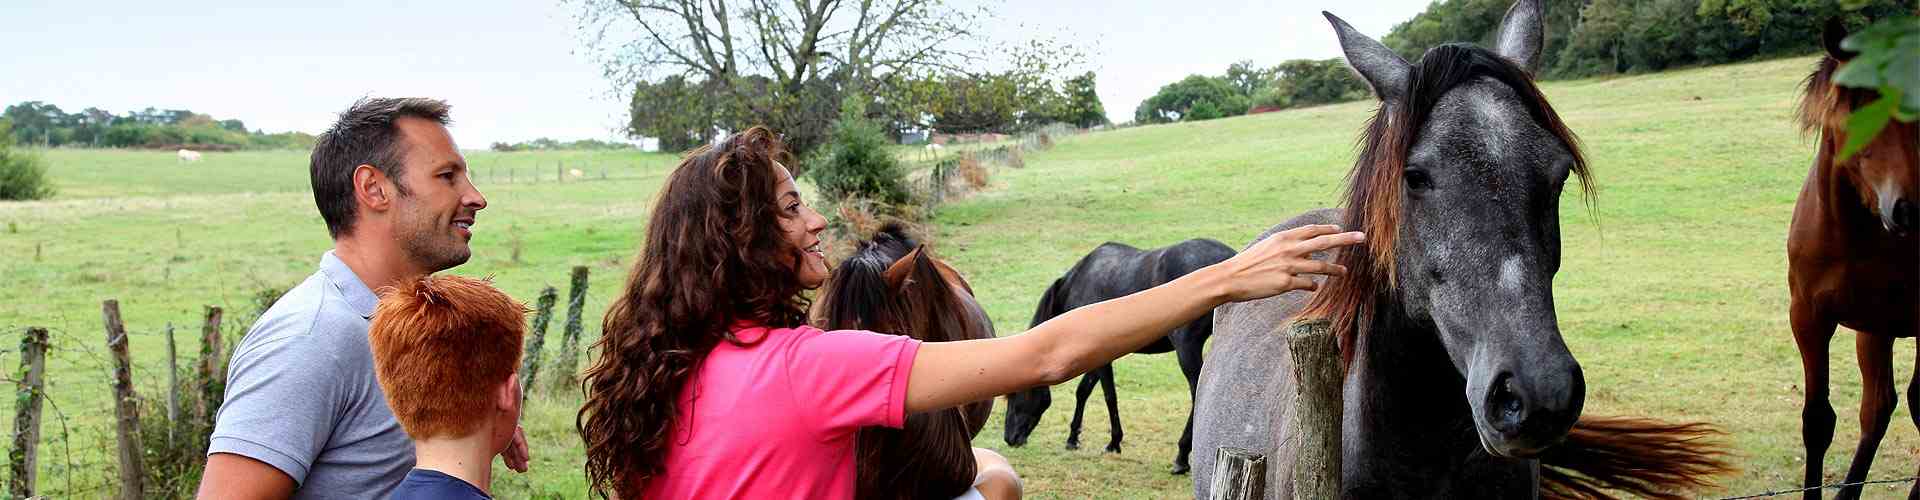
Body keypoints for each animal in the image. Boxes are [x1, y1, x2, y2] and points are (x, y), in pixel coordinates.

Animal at [1006, 237, 1228, 473]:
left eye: (1014, 394)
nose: (1009, 438)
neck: (1078, 281)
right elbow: (1083, 391)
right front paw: (1073, 437)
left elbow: (1109, 396)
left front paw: (1113, 442)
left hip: (1187, 349)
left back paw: (1182, 457)